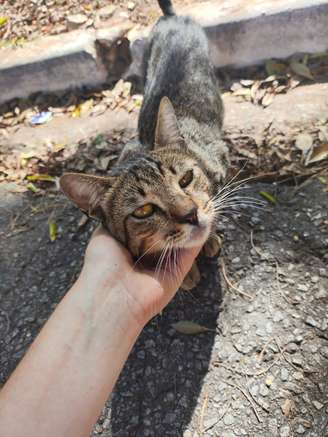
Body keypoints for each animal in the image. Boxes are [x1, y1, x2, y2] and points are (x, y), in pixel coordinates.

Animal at [59, 0, 228, 290]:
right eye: (144, 211)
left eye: (186, 179)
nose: (190, 214)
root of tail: (172, 18)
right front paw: (188, 270)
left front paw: (210, 237)